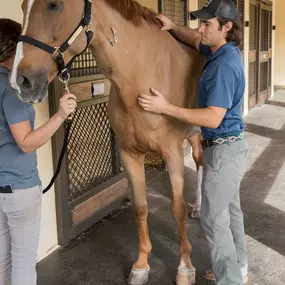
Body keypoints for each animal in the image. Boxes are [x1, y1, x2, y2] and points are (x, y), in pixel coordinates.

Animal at [10, 0, 203, 284]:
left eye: (54, 5)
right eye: (23, 6)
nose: (20, 82)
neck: (143, 77)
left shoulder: (173, 152)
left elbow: (176, 208)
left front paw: (186, 267)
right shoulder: (129, 154)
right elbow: (141, 207)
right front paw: (141, 265)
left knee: (201, 165)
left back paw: (199, 208)